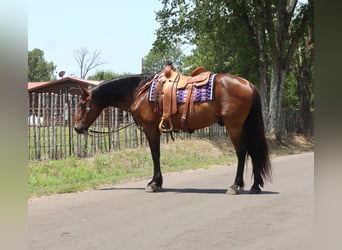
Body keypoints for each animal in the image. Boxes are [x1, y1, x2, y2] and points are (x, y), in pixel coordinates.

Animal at [73, 69, 272, 195]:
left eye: (82, 104)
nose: (77, 127)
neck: (140, 91)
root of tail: (248, 84)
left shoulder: (150, 129)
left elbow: (155, 154)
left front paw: (154, 183)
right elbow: (157, 154)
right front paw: (157, 182)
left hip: (234, 126)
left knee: (242, 152)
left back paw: (235, 186)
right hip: (244, 126)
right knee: (253, 151)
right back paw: (255, 186)